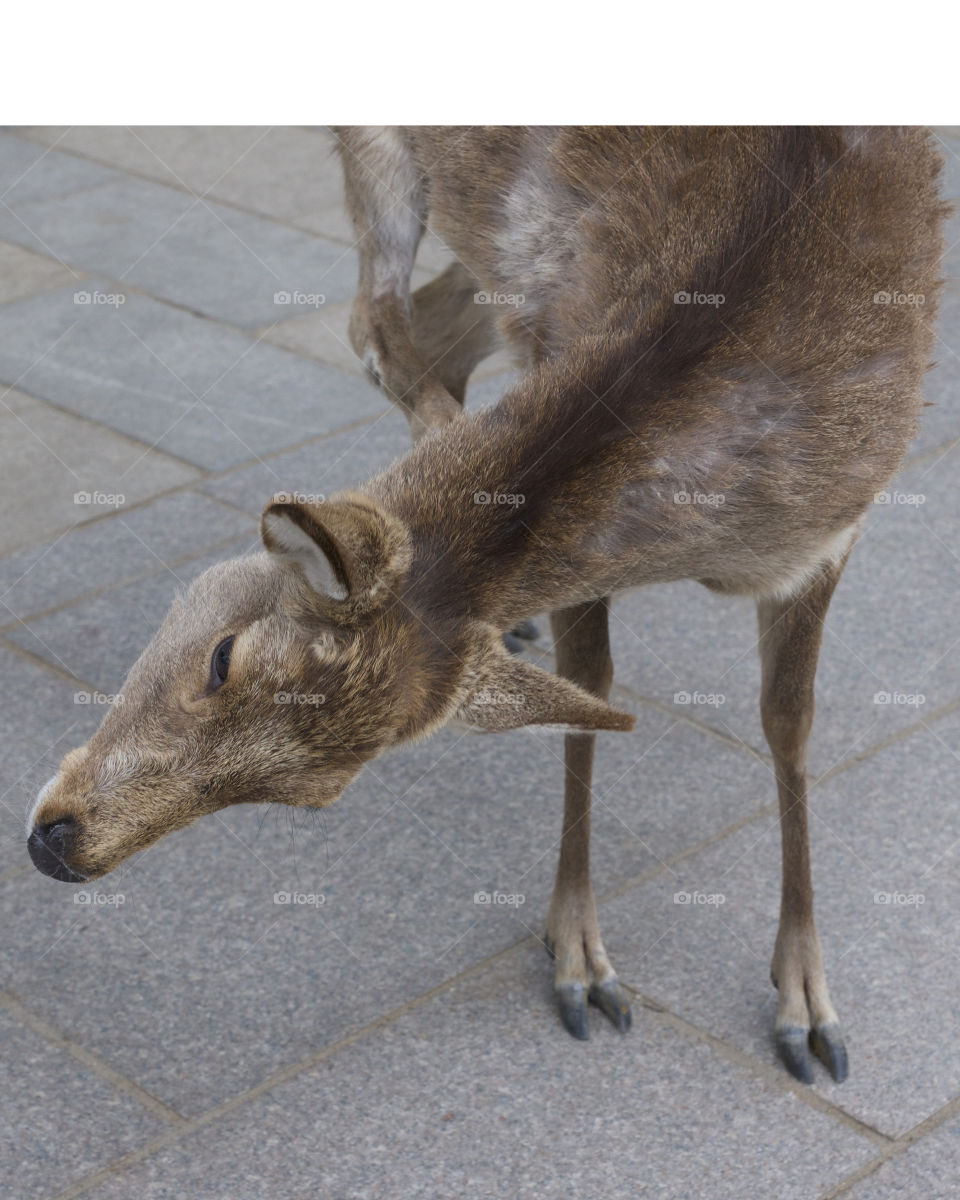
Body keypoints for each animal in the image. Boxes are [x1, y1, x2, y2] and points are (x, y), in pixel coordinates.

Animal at [27, 127, 946, 1087]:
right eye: (222, 657)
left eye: (312, 794)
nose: (60, 845)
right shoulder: (552, 351)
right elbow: (595, 682)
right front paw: (580, 961)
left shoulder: (832, 535)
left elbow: (789, 719)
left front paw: (809, 1010)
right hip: (384, 158)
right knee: (376, 319)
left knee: (426, 330)